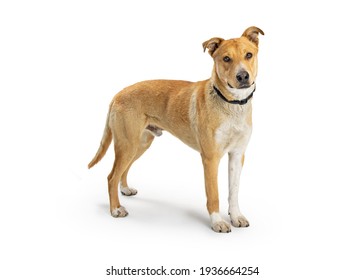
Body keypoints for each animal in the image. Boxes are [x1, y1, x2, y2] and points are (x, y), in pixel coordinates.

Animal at [88, 26, 264, 232]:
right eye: (226, 58)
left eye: (249, 55)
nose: (243, 76)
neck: (232, 104)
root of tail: (117, 94)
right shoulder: (210, 158)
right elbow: (214, 194)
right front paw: (217, 222)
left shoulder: (237, 155)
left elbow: (233, 191)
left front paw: (236, 217)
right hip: (127, 144)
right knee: (111, 177)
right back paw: (116, 209)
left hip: (140, 144)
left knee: (123, 170)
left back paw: (125, 189)